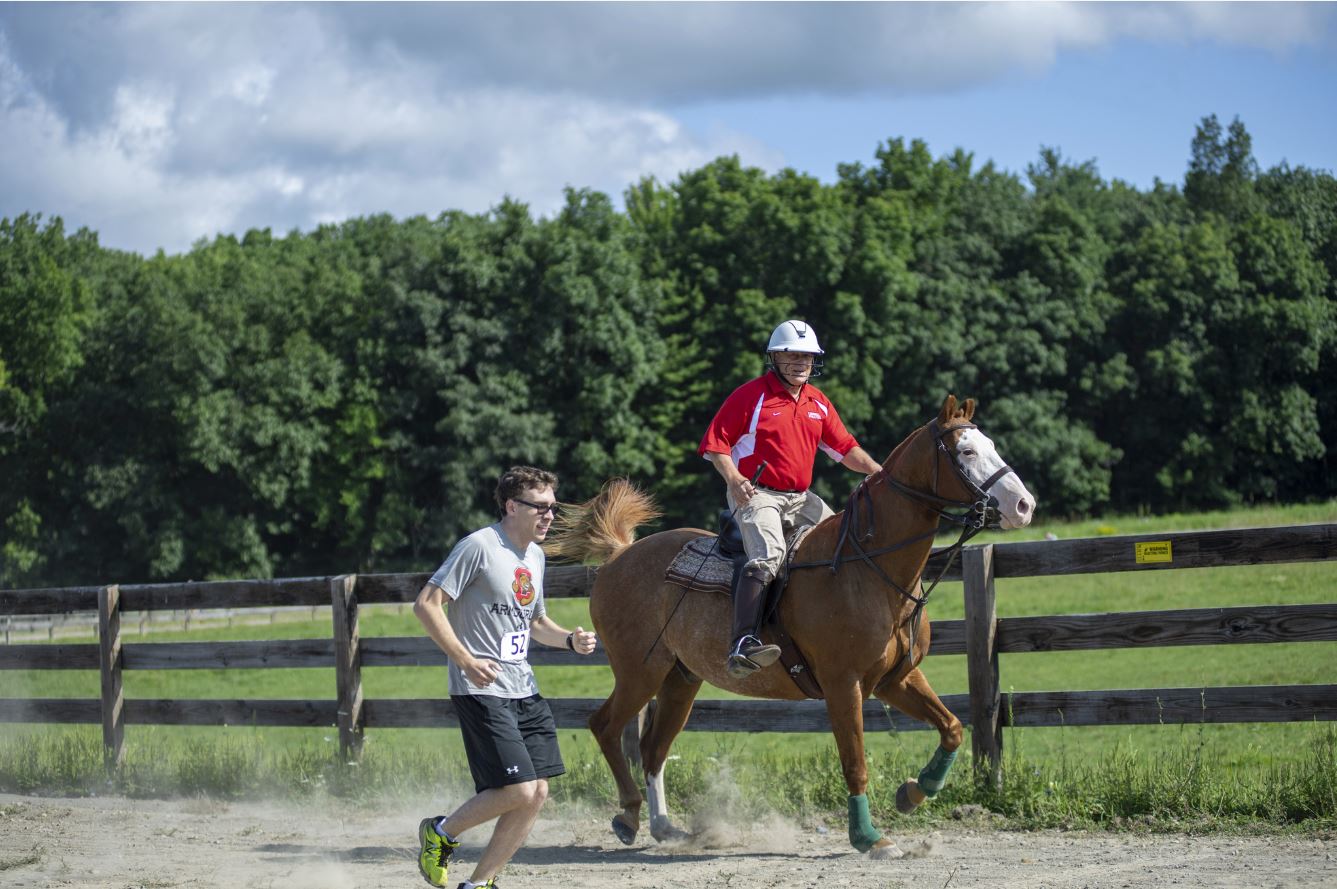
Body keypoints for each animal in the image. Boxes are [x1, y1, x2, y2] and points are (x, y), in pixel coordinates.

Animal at [542, 393, 1032, 855]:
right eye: (966, 451)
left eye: (990, 445)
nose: (1025, 505)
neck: (865, 569)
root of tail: (621, 554)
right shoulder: (843, 684)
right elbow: (855, 762)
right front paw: (869, 838)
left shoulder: (897, 679)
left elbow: (951, 728)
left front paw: (912, 793)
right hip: (639, 671)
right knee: (605, 726)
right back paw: (628, 816)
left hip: (680, 680)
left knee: (652, 748)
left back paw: (664, 826)